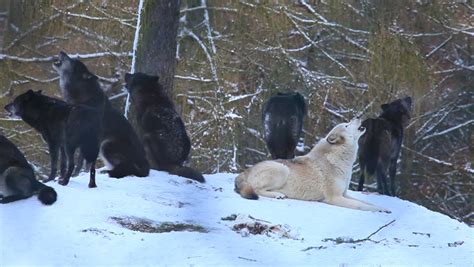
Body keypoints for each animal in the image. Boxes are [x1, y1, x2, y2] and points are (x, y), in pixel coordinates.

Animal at [52, 51, 149, 179]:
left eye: (73, 61)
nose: (61, 52)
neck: (82, 100)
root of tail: (146, 167)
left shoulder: (87, 137)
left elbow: (80, 161)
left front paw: (75, 174)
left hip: (106, 145)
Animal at [234, 119, 388, 214]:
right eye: (346, 125)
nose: (358, 117)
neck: (339, 160)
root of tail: (244, 172)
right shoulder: (335, 198)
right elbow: (361, 205)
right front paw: (379, 210)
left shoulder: (344, 194)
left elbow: (366, 203)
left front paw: (382, 208)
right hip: (282, 169)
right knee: (257, 190)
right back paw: (278, 195)